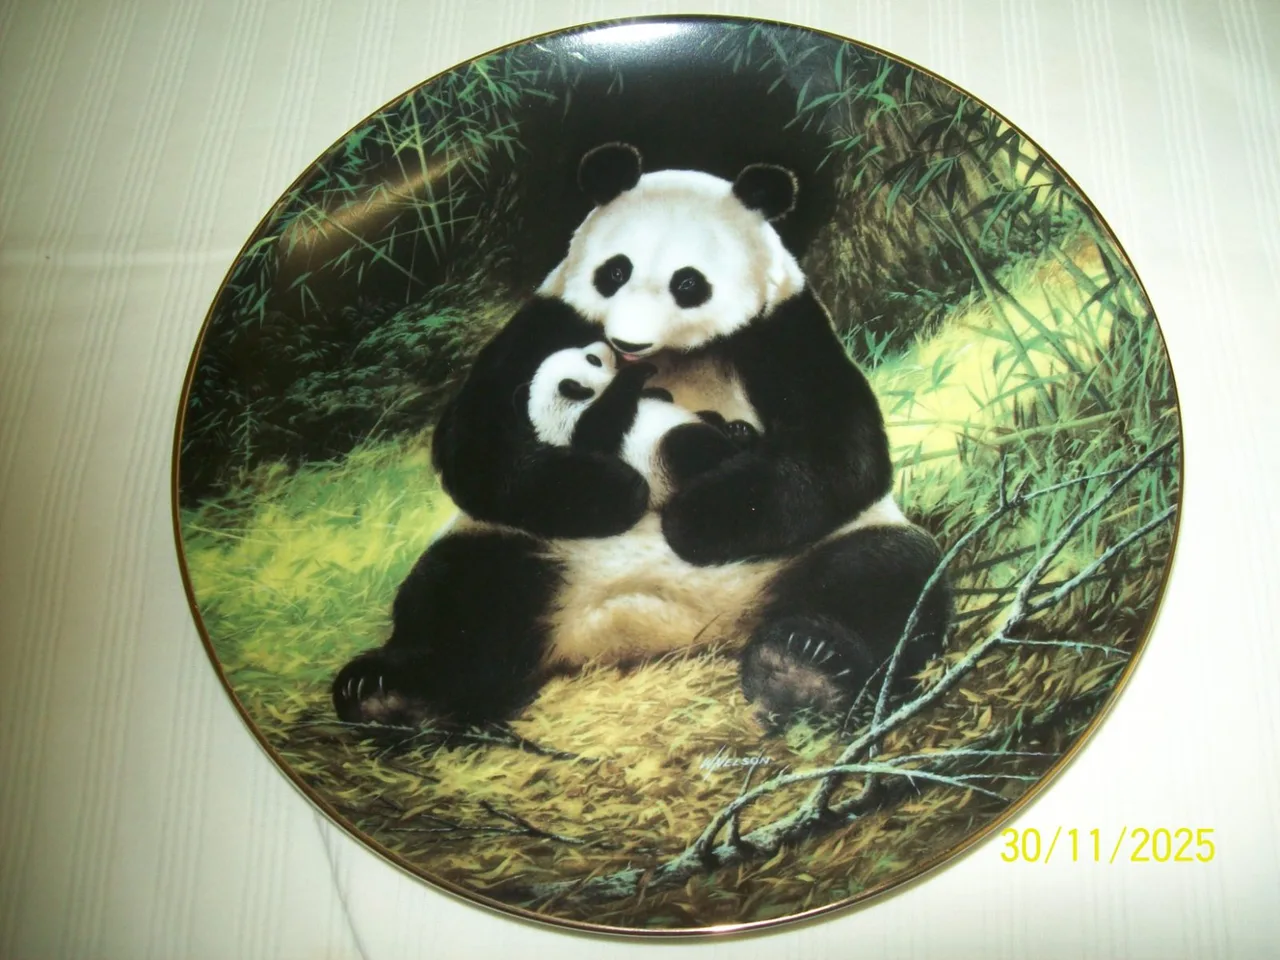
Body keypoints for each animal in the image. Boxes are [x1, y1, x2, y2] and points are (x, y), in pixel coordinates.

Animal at [332, 144, 951, 728]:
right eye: (614, 271)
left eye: (688, 283)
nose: (627, 342)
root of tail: (649, 626)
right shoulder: (550, 319)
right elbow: (476, 441)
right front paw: (614, 493)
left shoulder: (783, 329)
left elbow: (843, 447)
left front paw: (691, 520)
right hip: (526, 546)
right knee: (460, 591)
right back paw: (390, 693)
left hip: (808, 551)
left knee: (885, 573)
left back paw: (804, 667)